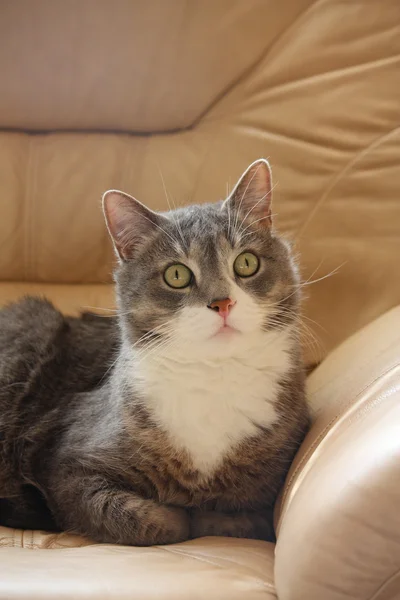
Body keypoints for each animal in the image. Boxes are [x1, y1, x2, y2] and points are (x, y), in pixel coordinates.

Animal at [0, 158, 310, 544]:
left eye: (246, 263)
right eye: (176, 275)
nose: (222, 303)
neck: (213, 374)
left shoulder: (263, 492)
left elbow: (235, 517)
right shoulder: (66, 464)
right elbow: (151, 521)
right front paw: (178, 513)